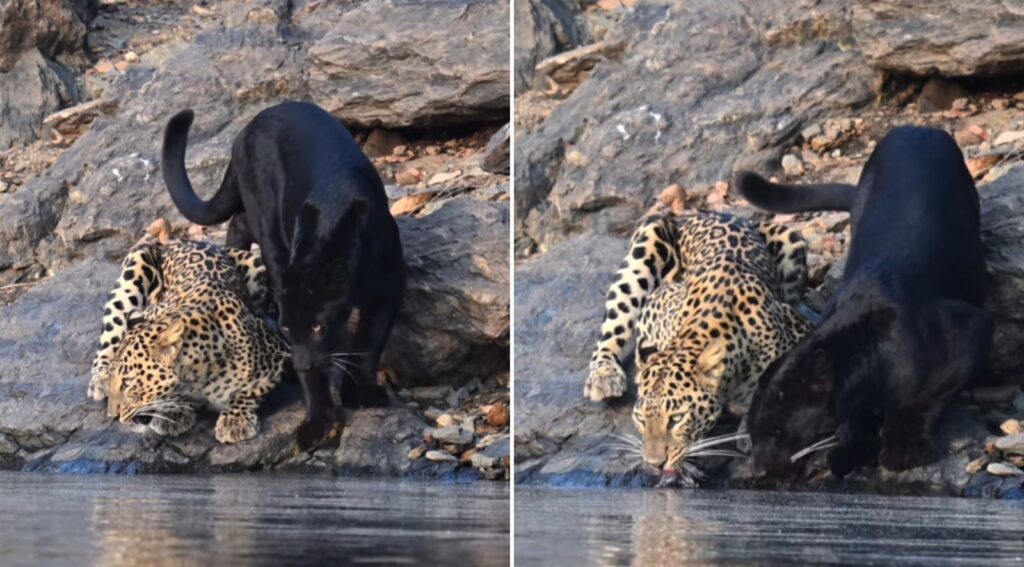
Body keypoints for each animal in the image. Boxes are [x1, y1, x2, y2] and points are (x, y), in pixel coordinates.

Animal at [87, 220, 285, 444]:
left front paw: (235, 421)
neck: (196, 378)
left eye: (128, 383)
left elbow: (248, 392)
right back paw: (99, 379)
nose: (112, 415)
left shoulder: (275, 354)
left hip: (255, 261)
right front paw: (174, 412)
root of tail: (185, 242)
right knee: (112, 325)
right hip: (136, 261)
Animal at [584, 203, 812, 477]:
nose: (654, 464)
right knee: (613, 323)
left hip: (792, 239)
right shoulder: (655, 307)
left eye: (676, 419)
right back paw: (604, 375)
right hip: (646, 241)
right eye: (640, 419)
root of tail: (708, 213)